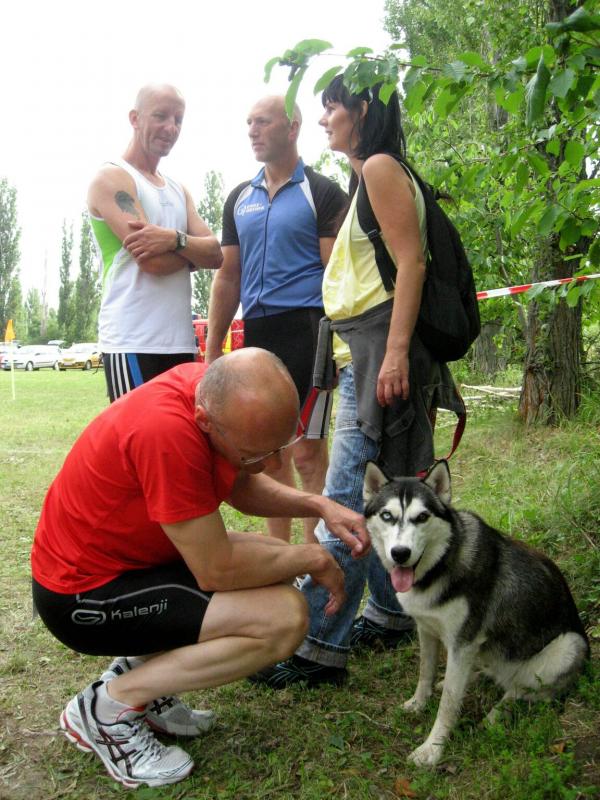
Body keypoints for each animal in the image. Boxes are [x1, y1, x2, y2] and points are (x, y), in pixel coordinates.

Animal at [363, 459, 589, 768]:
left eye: (422, 517)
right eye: (387, 515)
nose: (400, 553)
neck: (440, 564)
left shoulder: (463, 643)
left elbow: (448, 703)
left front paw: (432, 749)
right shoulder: (427, 629)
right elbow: (425, 672)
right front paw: (418, 703)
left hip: (568, 646)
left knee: (520, 691)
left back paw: (494, 717)